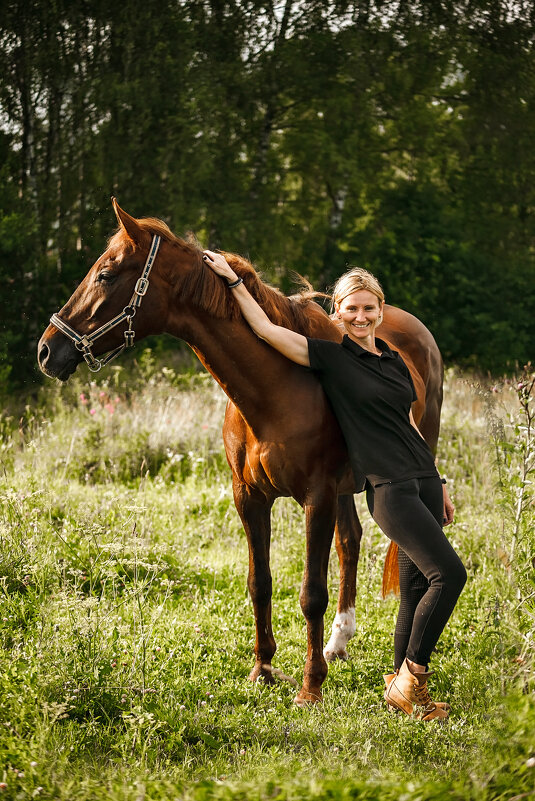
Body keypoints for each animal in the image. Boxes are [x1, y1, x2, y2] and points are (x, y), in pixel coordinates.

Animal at [38, 200, 444, 708]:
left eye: (107, 275)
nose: (47, 350)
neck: (278, 388)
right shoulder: (249, 497)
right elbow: (260, 582)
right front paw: (263, 669)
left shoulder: (317, 498)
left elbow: (311, 592)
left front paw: (310, 686)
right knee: (350, 542)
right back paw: (338, 642)